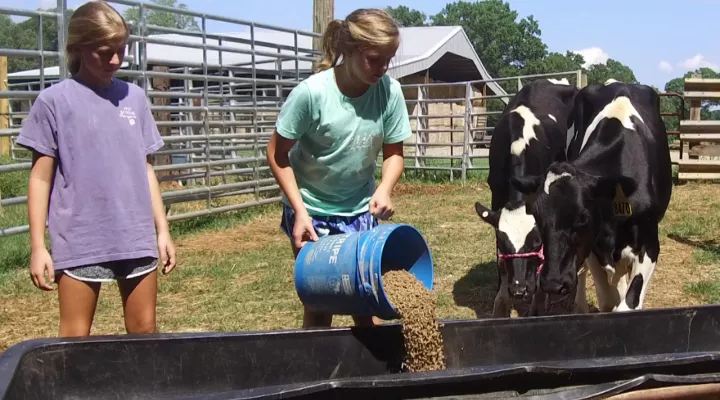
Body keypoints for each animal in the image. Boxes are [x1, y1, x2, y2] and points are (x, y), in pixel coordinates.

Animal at [472, 76, 580, 318]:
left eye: (537, 241)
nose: (520, 289)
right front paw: (501, 304)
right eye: (503, 243)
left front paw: (538, 303)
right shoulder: (496, 196)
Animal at [510, 79, 672, 312]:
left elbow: (628, 303)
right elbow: (608, 301)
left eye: (582, 218)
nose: (552, 283)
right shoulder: (594, 247)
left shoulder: (650, 243)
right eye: (537, 219)